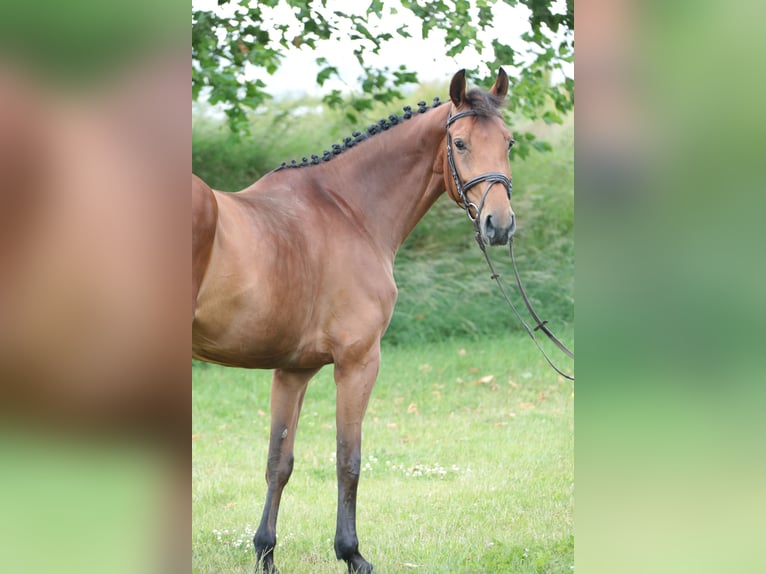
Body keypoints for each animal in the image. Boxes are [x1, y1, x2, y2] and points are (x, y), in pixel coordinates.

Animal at [190, 68, 516, 574]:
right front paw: (352, 553)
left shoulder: (293, 370)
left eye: (509, 142)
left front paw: (265, 553)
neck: (348, 210)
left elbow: (278, 462)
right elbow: (349, 459)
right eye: (460, 143)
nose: (498, 225)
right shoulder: (358, 362)